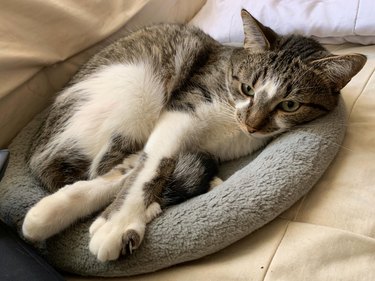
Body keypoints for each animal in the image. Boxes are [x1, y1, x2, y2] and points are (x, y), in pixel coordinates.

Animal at [21, 9, 368, 262]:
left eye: (290, 105)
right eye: (248, 88)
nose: (252, 124)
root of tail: (35, 147)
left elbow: (132, 170)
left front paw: (61, 211)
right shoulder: (180, 111)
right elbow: (150, 167)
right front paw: (116, 224)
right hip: (135, 90)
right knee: (105, 162)